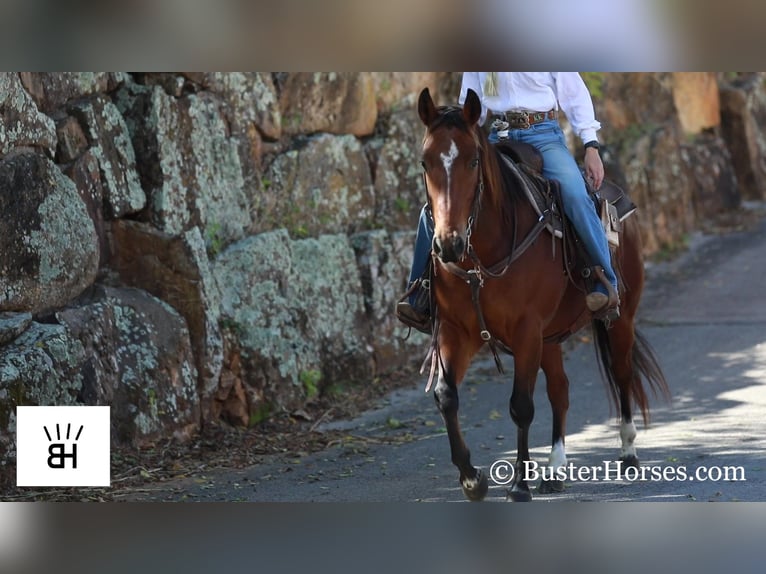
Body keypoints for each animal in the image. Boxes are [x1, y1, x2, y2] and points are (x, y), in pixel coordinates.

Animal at [416, 88, 668, 502]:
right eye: (425, 162)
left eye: (472, 160)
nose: (448, 244)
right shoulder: (457, 331)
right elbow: (446, 395)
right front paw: (472, 479)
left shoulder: (525, 331)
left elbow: (521, 405)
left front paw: (519, 484)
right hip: (549, 338)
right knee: (560, 391)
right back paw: (554, 469)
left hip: (619, 319)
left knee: (622, 373)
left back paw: (628, 452)